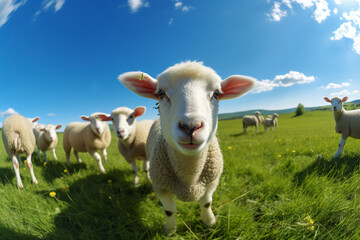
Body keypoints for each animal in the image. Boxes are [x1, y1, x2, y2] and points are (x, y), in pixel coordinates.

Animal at [117, 60, 253, 234]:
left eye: (216, 93)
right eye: (160, 93)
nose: (191, 126)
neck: (190, 178)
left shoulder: (211, 182)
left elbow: (206, 203)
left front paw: (209, 222)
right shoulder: (161, 187)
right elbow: (169, 211)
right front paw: (170, 229)